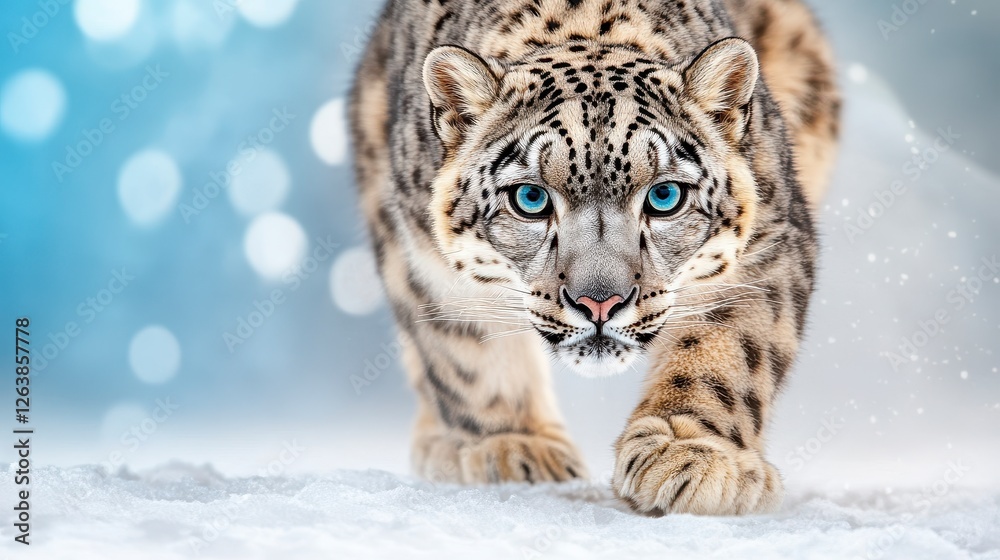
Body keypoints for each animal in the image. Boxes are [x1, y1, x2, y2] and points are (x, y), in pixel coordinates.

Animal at [349, 0, 839, 515]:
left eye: (665, 196)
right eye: (530, 198)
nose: (600, 302)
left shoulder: (765, 244)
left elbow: (728, 348)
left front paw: (690, 455)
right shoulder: (424, 255)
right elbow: (468, 353)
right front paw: (516, 446)